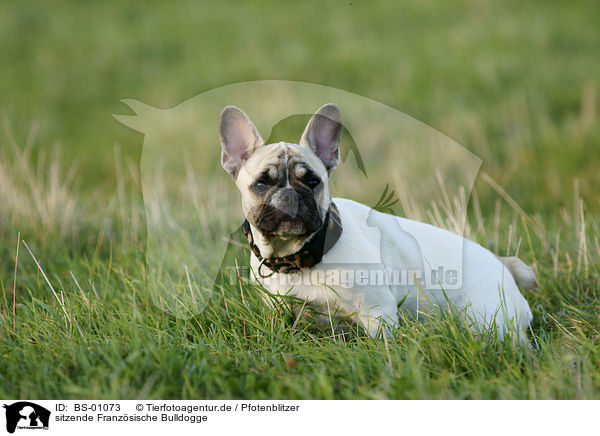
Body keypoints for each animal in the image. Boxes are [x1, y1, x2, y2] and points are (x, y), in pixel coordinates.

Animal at [219, 104, 536, 342]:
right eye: (261, 184)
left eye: (312, 182)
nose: (289, 196)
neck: (297, 257)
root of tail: (504, 266)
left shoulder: (377, 312)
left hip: (484, 320)